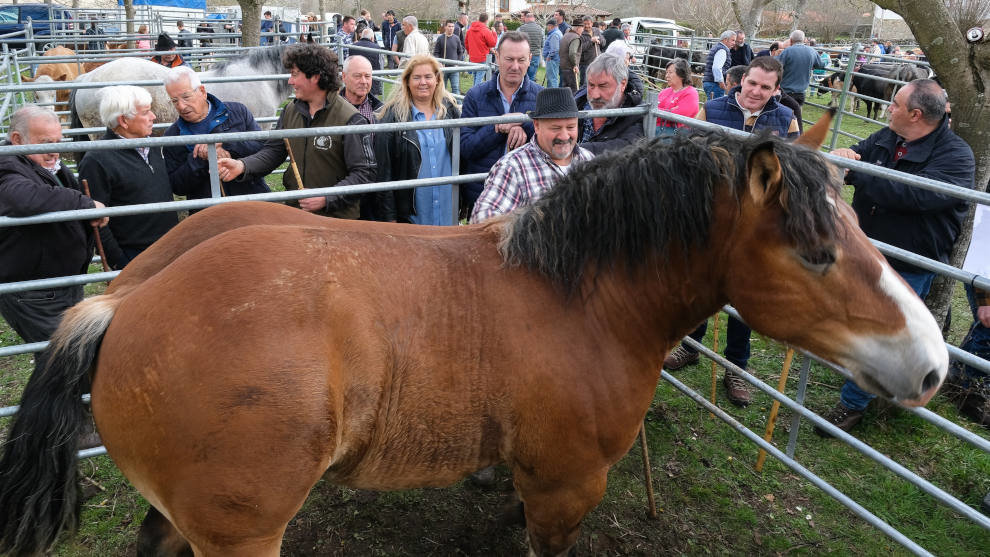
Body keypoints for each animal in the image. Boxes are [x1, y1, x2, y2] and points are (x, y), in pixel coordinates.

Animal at [0, 118, 948, 556]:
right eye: (819, 251)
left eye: (857, 229)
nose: (935, 365)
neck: (580, 297)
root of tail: (125, 299)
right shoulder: (566, 489)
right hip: (240, 534)